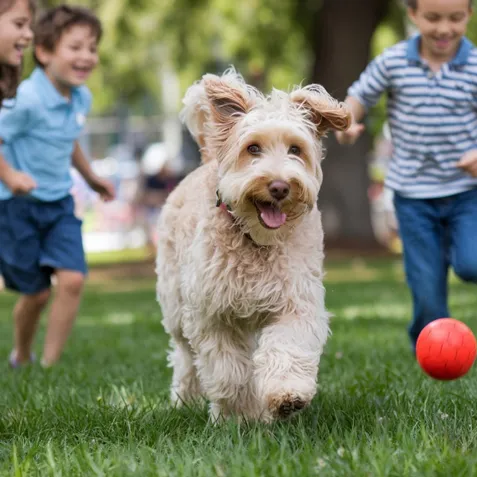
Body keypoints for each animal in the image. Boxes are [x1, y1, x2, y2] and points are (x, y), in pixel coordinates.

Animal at [156, 68, 350, 420]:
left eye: (295, 149)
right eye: (253, 148)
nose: (279, 186)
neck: (256, 240)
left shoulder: (296, 302)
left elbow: (287, 347)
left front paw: (286, 396)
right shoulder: (212, 314)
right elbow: (228, 370)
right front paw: (241, 412)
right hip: (175, 306)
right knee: (184, 355)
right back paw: (185, 399)